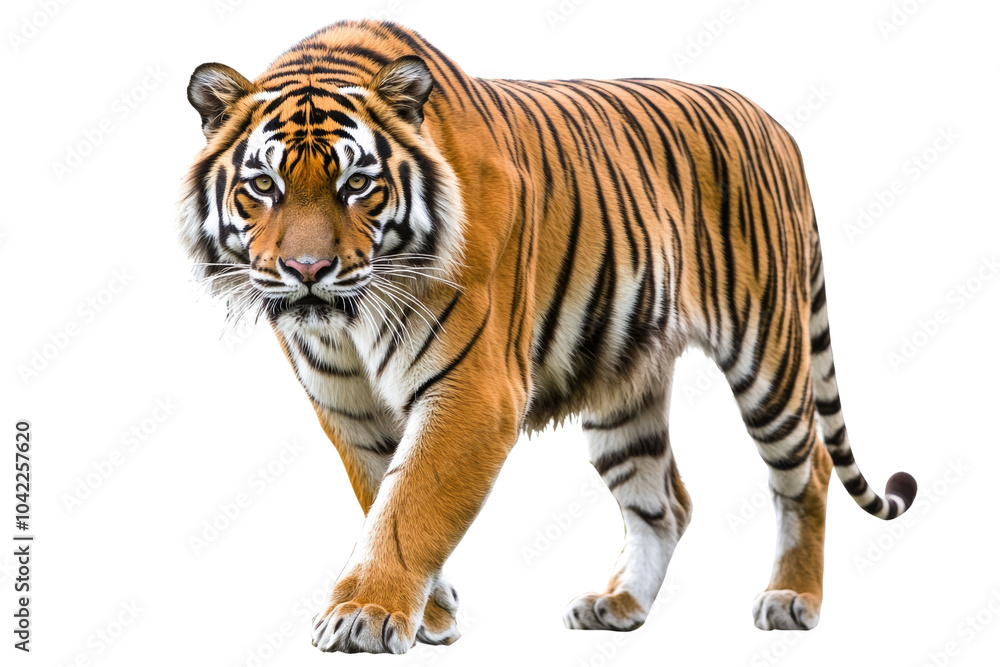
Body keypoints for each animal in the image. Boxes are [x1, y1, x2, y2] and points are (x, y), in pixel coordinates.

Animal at [179, 19, 918, 654]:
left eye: (357, 183)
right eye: (263, 186)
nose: (307, 271)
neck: (352, 321)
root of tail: (777, 126)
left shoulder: (474, 390)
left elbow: (409, 505)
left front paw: (365, 613)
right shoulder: (348, 407)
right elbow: (380, 498)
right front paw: (429, 612)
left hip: (767, 354)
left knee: (806, 469)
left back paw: (792, 598)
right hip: (624, 386)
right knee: (665, 502)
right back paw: (619, 606)